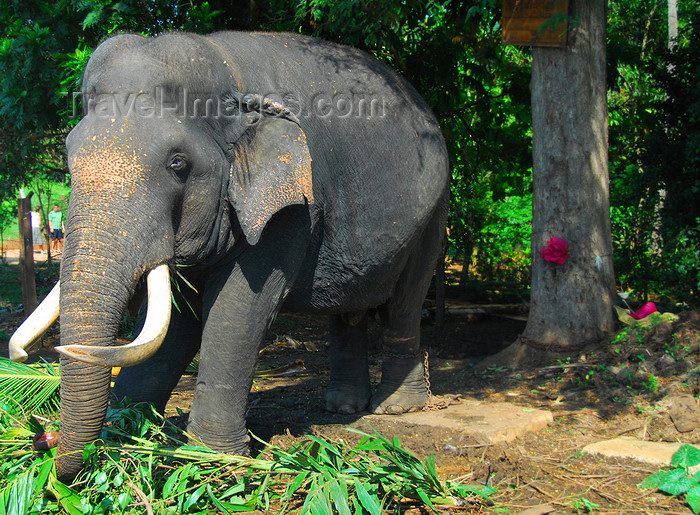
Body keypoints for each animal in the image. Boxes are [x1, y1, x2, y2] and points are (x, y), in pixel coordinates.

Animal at [9, 31, 448, 484]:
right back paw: (342, 406)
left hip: (434, 213)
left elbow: (238, 308)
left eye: (178, 164)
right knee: (349, 310)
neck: (230, 74)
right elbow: (179, 319)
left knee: (405, 303)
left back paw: (396, 406)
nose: (46, 446)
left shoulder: (295, 203)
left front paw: (214, 462)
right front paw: (124, 430)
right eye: (68, 157)